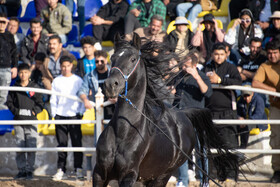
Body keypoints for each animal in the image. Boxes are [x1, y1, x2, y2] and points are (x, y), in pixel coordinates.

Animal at [93, 34, 240, 187]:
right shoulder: (99, 174)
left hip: (162, 176)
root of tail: (184, 114)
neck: (123, 132)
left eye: (133, 59)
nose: (110, 85)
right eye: (113, 58)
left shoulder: (128, 175)